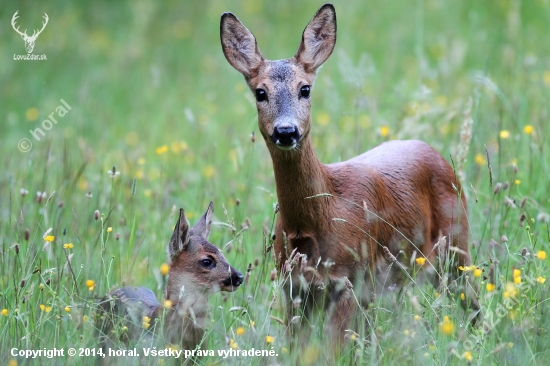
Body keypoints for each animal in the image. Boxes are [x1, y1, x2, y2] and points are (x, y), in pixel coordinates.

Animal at [222, 3, 480, 346]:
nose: (286, 131)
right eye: (260, 93)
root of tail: (437, 154)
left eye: (305, 89)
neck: (317, 221)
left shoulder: (351, 281)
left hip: (457, 247)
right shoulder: (292, 287)